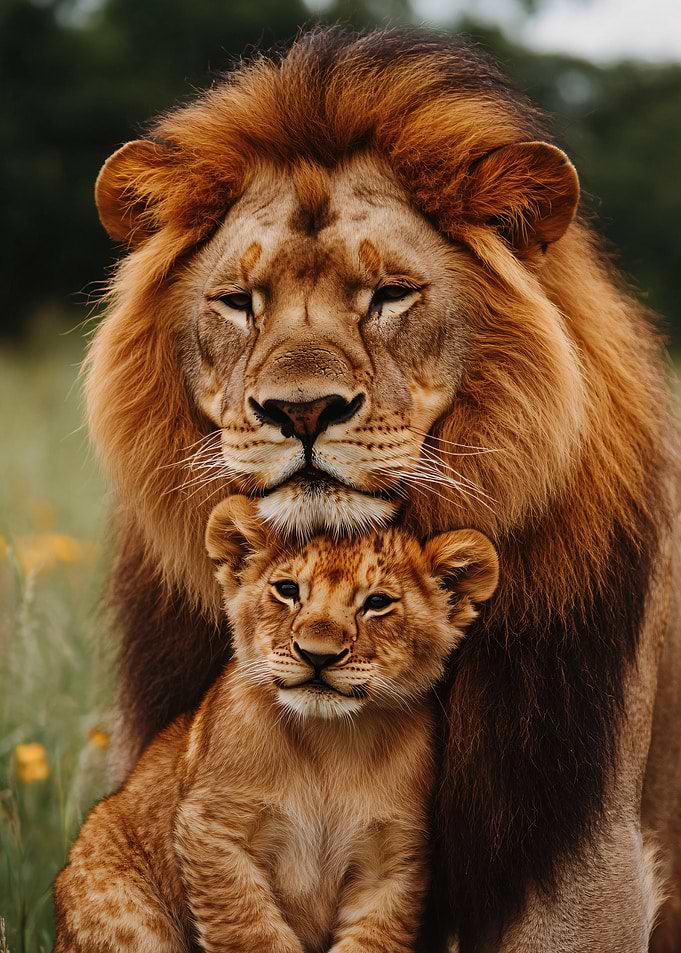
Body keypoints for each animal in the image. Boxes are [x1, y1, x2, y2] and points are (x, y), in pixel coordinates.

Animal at [53, 498, 498, 953]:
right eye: (288, 590)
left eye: (377, 602)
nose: (317, 654)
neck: (330, 743)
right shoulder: (214, 828)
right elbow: (252, 932)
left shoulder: (392, 862)